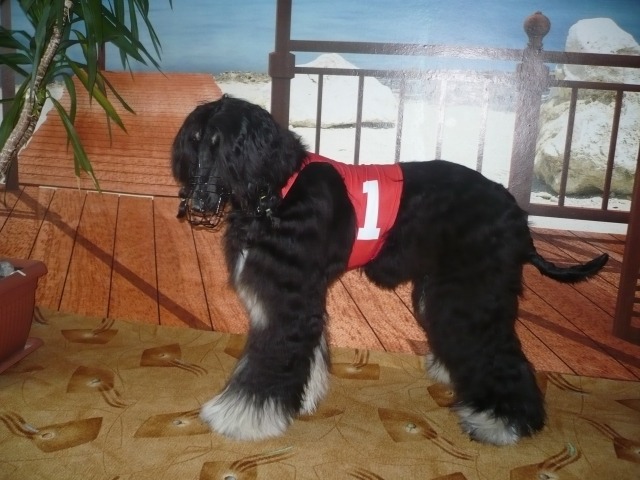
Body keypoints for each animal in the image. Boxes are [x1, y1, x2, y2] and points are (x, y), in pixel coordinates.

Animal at [171, 95, 608, 445]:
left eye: (224, 147)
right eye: (196, 142)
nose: (197, 201)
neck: (278, 191)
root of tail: (518, 217)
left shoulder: (287, 300)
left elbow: (269, 360)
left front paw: (243, 418)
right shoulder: (304, 295)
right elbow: (308, 354)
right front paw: (305, 397)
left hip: (469, 295)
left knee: (500, 352)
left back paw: (504, 422)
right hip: (441, 289)